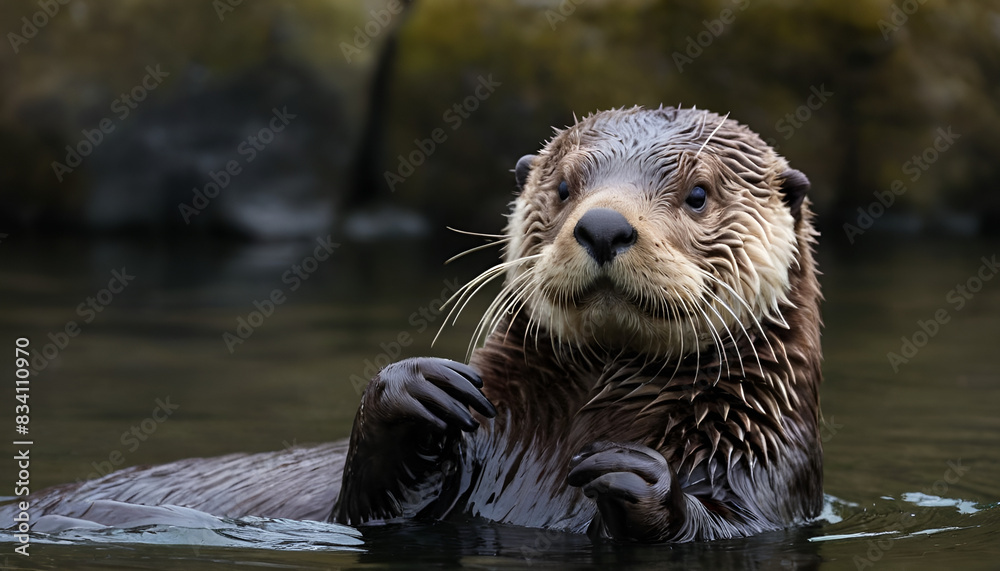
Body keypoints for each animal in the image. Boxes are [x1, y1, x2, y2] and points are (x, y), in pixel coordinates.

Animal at [4, 106, 822, 543]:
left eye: (697, 193)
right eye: (564, 187)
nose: (604, 224)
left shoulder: (770, 483)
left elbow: (720, 526)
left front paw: (639, 476)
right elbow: (366, 510)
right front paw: (415, 388)